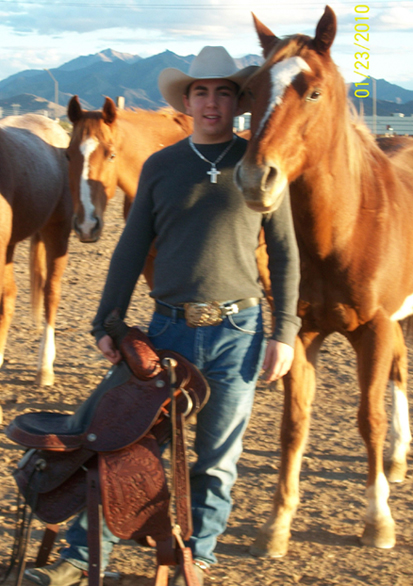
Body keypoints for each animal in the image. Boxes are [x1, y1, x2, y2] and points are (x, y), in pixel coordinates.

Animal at [235, 6, 413, 557]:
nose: (255, 178)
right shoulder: (299, 333)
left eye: (312, 91)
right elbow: (294, 425)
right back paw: (398, 459)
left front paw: (378, 522)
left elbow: (369, 419)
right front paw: (277, 524)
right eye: (250, 90)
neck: (346, 228)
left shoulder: (374, 330)